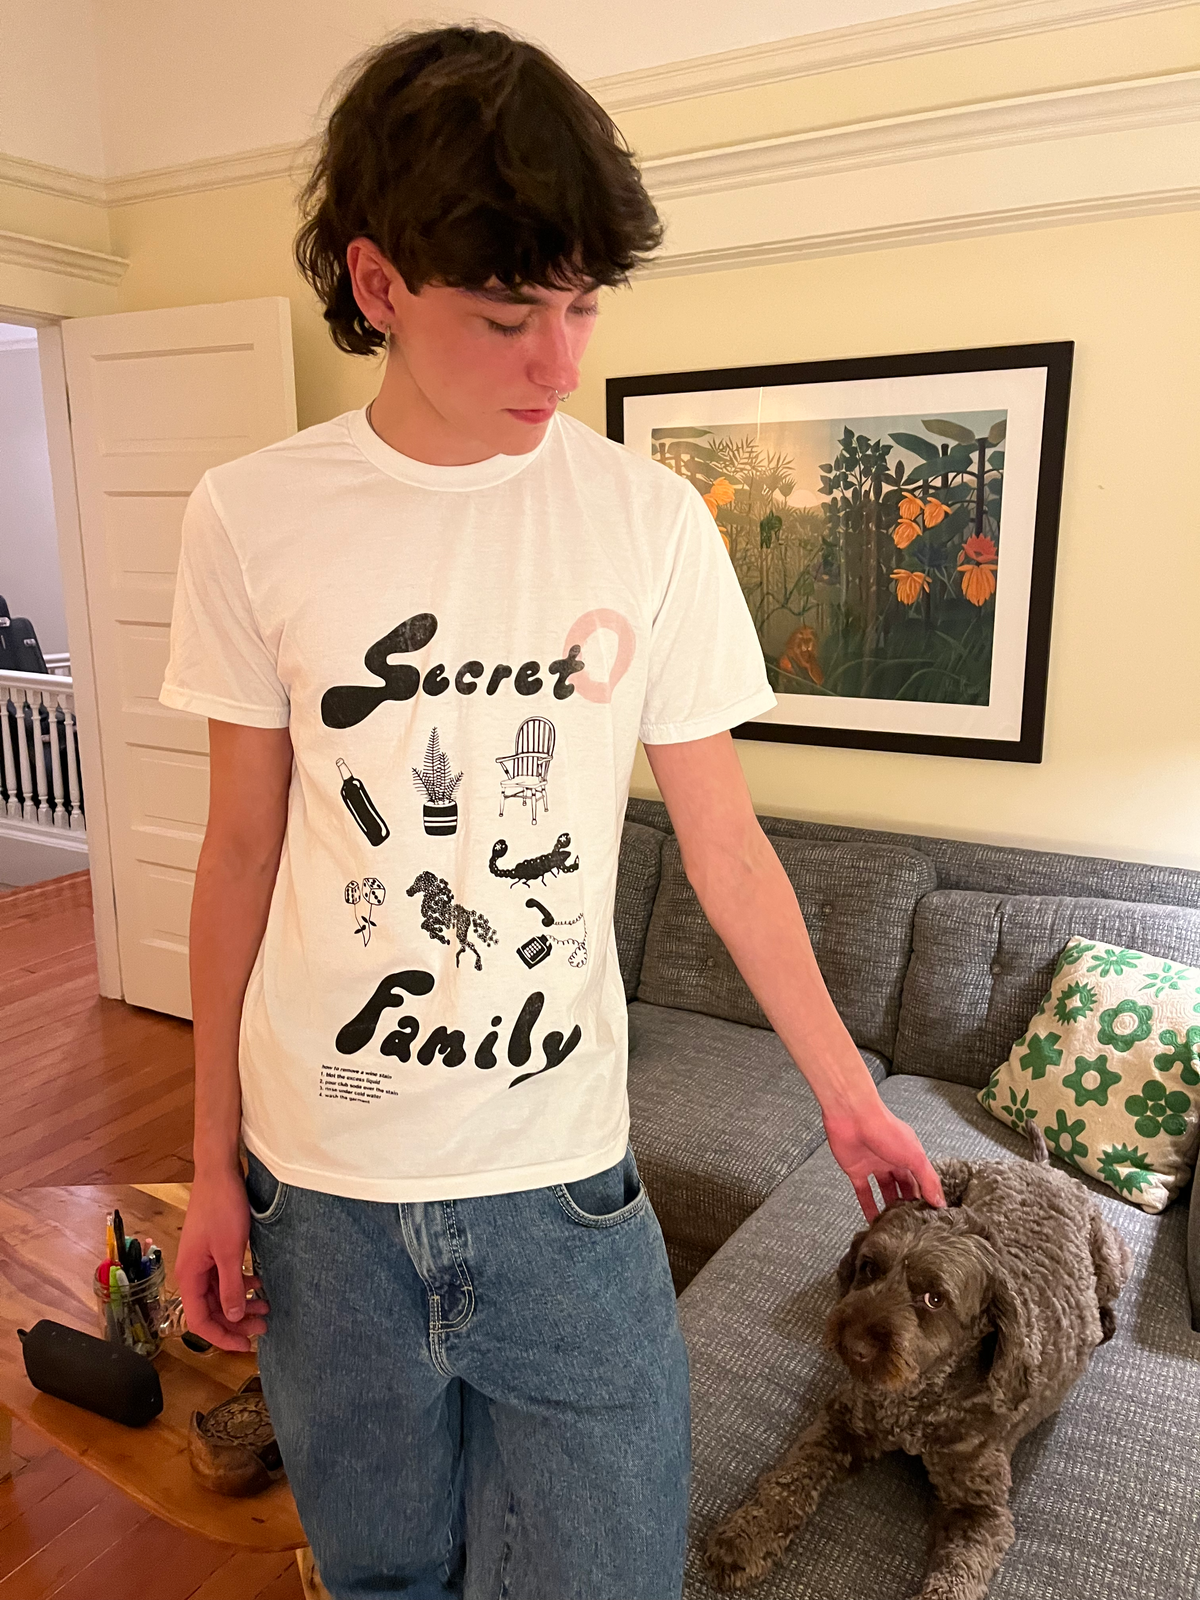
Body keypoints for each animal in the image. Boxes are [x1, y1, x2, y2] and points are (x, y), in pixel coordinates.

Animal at [704, 1124, 1131, 1600]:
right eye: (870, 1268)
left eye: (934, 1299)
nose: (854, 1345)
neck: (920, 1399)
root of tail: (1044, 1169)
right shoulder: (844, 1420)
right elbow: (792, 1475)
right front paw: (747, 1535)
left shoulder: (981, 1513)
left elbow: (955, 1579)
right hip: (941, 1172)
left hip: (1112, 1259)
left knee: (1109, 1288)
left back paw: (1105, 1320)